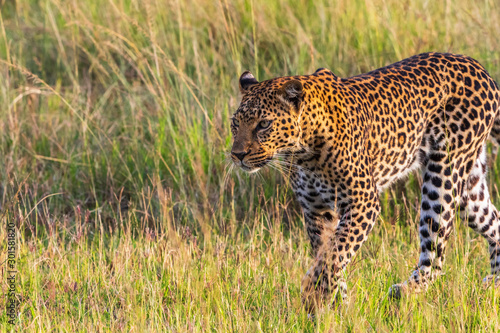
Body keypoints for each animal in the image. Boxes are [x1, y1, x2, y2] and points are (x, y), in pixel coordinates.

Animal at [229, 52, 500, 312]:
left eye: (264, 124)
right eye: (235, 124)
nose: (237, 155)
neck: (303, 151)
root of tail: (480, 68)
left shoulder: (362, 203)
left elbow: (336, 253)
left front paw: (312, 293)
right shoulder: (316, 210)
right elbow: (328, 254)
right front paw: (337, 303)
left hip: (443, 175)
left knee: (435, 256)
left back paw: (404, 291)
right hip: (469, 188)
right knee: (494, 221)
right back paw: (495, 283)